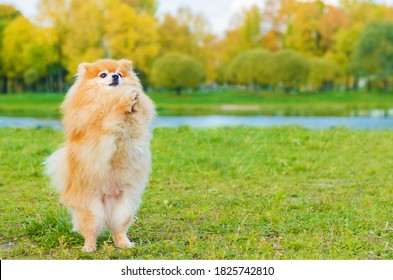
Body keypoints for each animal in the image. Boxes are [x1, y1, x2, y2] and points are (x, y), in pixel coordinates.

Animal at [44, 58, 155, 252]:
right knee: (91, 230)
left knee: (118, 228)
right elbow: (111, 116)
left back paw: (124, 243)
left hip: (125, 205)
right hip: (91, 207)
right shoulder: (98, 129)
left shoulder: (136, 129)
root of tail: (107, 199)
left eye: (120, 72)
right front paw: (124, 103)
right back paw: (89, 247)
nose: (115, 76)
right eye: (103, 74)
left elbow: (136, 117)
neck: (108, 97)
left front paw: (134, 101)